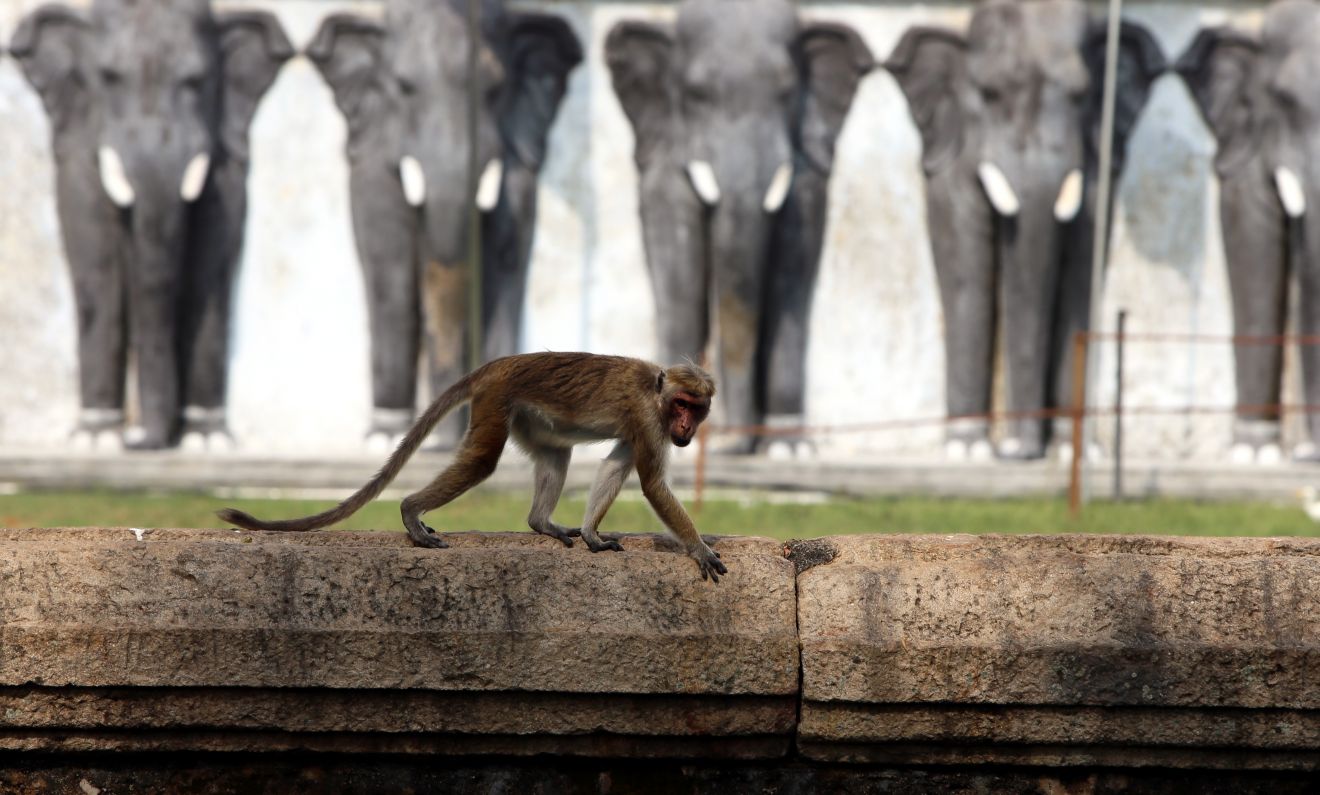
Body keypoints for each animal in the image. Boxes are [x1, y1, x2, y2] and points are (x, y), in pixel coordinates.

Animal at [219, 348, 733, 578]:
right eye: (681, 405)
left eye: (696, 408)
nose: (685, 426)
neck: (657, 394)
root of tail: (496, 364)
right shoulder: (648, 419)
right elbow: (651, 483)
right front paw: (698, 548)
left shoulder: (643, 426)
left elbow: (616, 466)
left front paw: (591, 532)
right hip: (496, 399)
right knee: (483, 461)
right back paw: (410, 510)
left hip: (523, 412)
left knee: (555, 452)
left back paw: (540, 522)